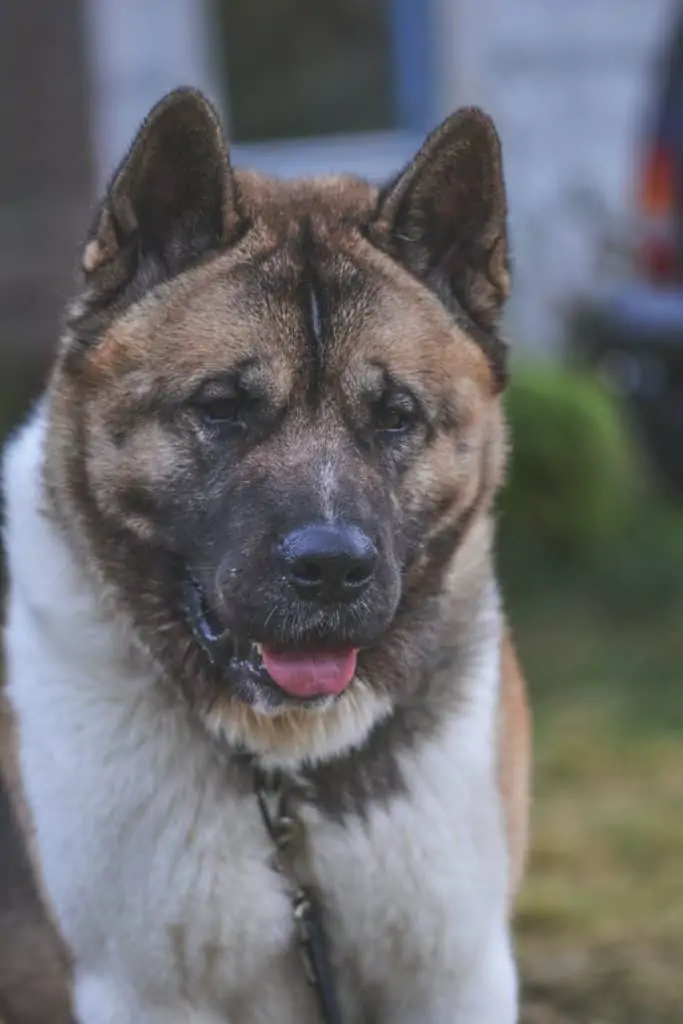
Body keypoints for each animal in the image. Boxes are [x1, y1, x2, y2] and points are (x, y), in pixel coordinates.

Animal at [0, 90, 532, 1024]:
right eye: (221, 406)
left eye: (395, 416)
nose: (330, 570)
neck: (285, 775)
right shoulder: (139, 990)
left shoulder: (452, 973)